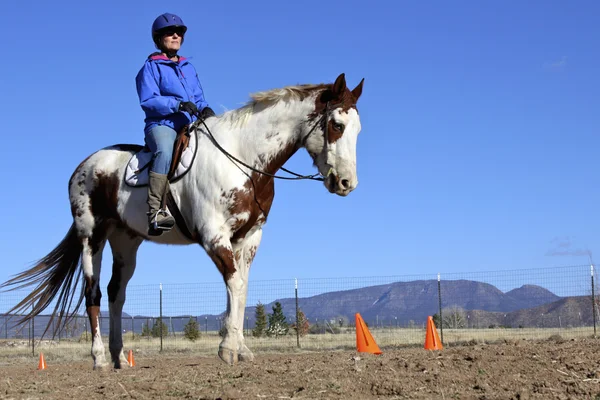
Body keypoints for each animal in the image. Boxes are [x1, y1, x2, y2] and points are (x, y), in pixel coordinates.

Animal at [0, 72, 364, 368]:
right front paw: (228, 349)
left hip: (125, 241)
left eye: (358, 129)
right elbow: (234, 284)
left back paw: (120, 358)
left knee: (117, 293)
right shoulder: (214, 235)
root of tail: (83, 166)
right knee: (93, 294)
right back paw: (100, 359)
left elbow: (241, 288)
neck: (242, 158)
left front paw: (240, 348)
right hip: (92, 236)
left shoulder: (248, 238)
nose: (347, 183)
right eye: (337, 125)